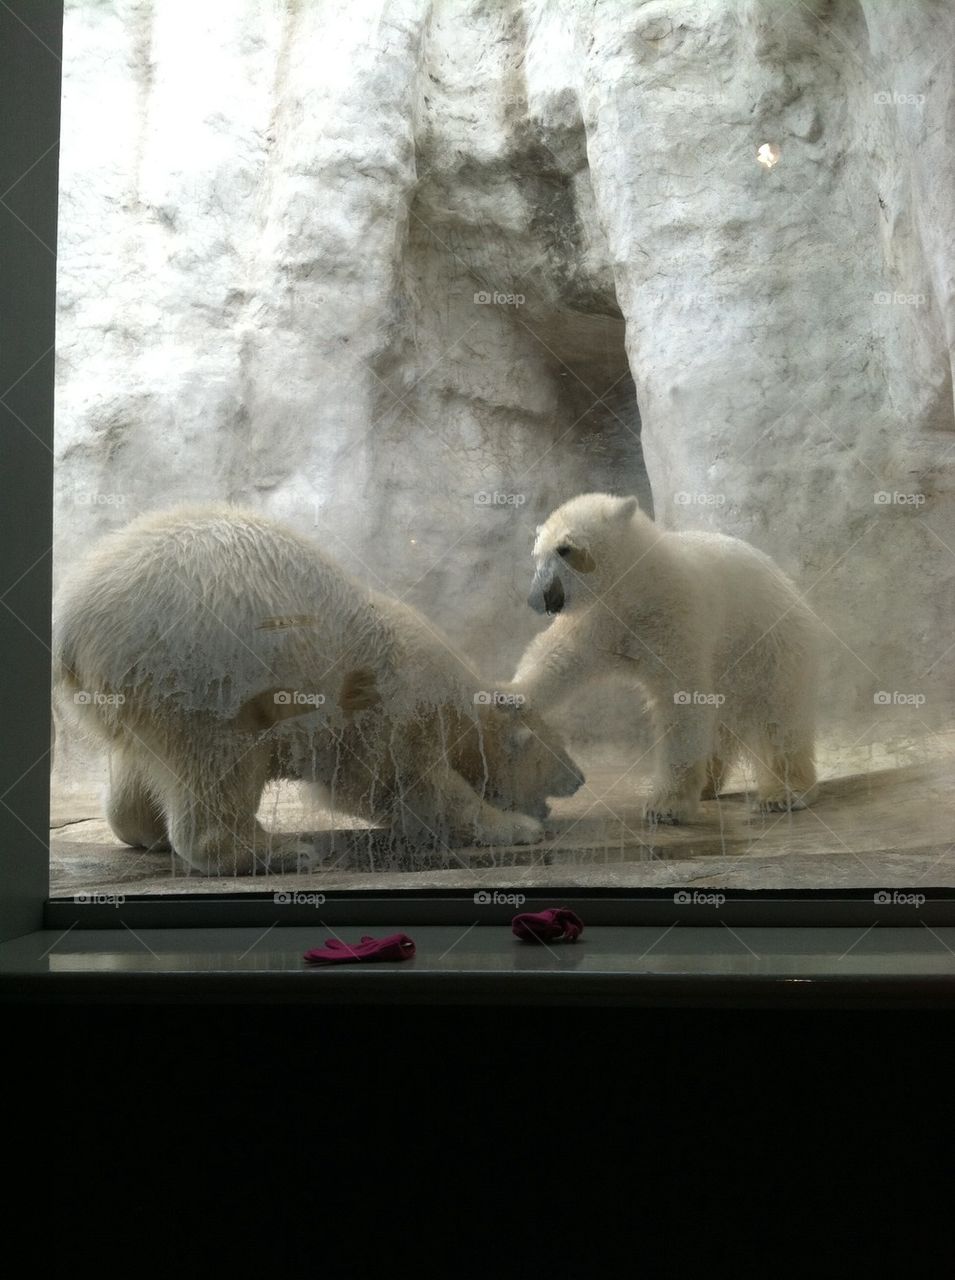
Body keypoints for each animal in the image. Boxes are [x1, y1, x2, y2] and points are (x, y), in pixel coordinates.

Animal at [53, 505, 584, 874]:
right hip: (205, 667)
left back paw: (147, 830)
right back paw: (280, 850)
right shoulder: (393, 714)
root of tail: (73, 623)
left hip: (131, 690)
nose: (579, 777)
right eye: (553, 747)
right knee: (220, 762)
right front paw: (517, 828)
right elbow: (412, 785)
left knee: (138, 760)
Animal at [508, 493, 819, 823]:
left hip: (769, 647)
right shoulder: (599, 618)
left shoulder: (673, 617)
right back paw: (706, 783)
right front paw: (508, 696)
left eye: (565, 548)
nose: (538, 599)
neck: (634, 584)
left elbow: (680, 701)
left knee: (780, 720)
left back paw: (784, 793)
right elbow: (558, 657)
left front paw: (665, 805)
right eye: (537, 554)